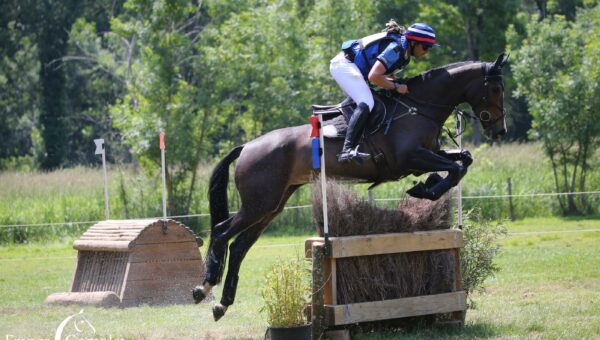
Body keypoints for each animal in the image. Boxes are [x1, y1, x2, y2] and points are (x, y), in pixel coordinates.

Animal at [195, 52, 508, 318]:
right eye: (495, 89)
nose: (499, 131)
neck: (419, 108)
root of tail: (248, 146)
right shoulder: (409, 158)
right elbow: (456, 167)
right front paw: (426, 189)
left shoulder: (428, 155)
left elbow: (463, 160)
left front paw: (428, 185)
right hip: (258, 204)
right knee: (222, 232)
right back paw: (204, 287)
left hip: (272, 206)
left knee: (239, 246)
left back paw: (223, 303)